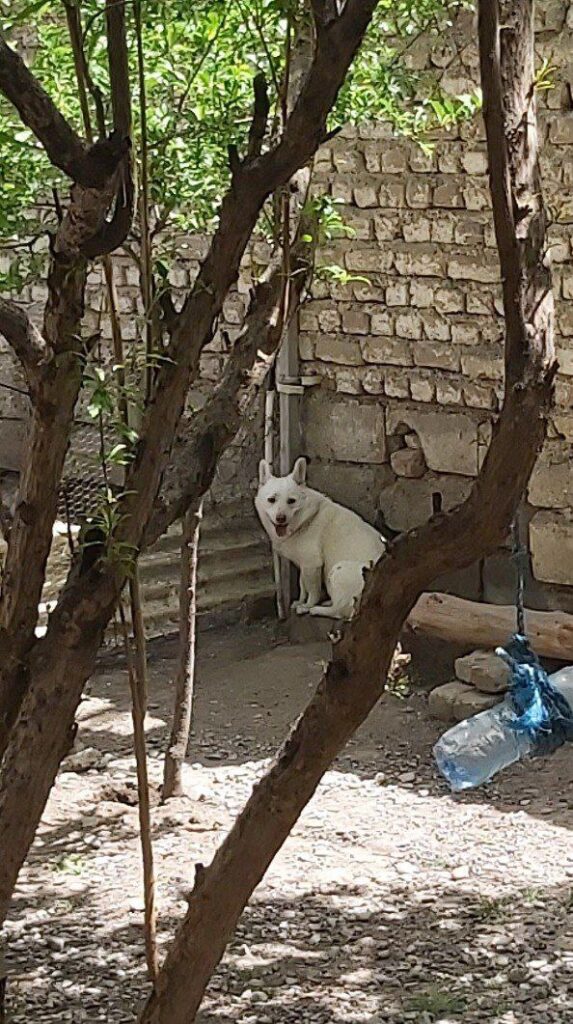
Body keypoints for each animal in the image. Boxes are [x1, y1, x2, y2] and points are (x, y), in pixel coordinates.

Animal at [254, 460, 384, 618]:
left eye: (291, 501)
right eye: (271, 500)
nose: (281, 518)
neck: (306, 520)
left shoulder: (312, 565)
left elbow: (313, 592)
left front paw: (306, 606)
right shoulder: (304, 565)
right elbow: (302, 587)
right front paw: (300, 602)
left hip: (339, 569)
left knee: (341, 611)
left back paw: (317, 609)